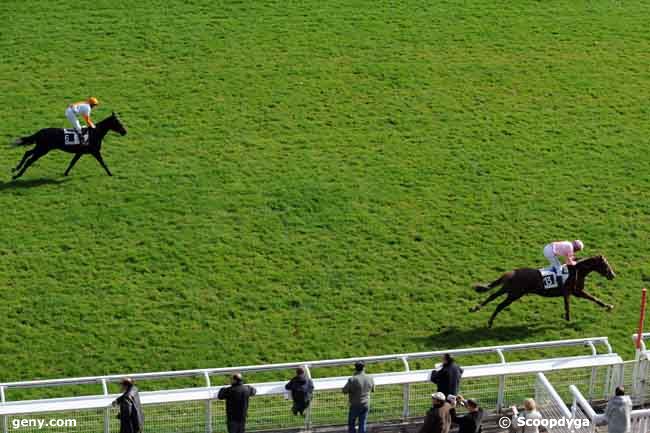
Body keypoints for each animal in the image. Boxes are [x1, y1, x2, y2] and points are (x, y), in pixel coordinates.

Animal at [468, 253, 616, 328]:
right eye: (605, 264)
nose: (613, 275)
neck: (577, 270)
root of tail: (513, 273)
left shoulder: (575, 292)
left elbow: (591, 299)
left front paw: (608, 306)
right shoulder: (573, 292)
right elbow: (575, 304)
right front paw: (568, 320)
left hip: (508, 290)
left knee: (492, 296)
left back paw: (474, 309)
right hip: (514, 294)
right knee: (499, 305)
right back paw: (489, 322)